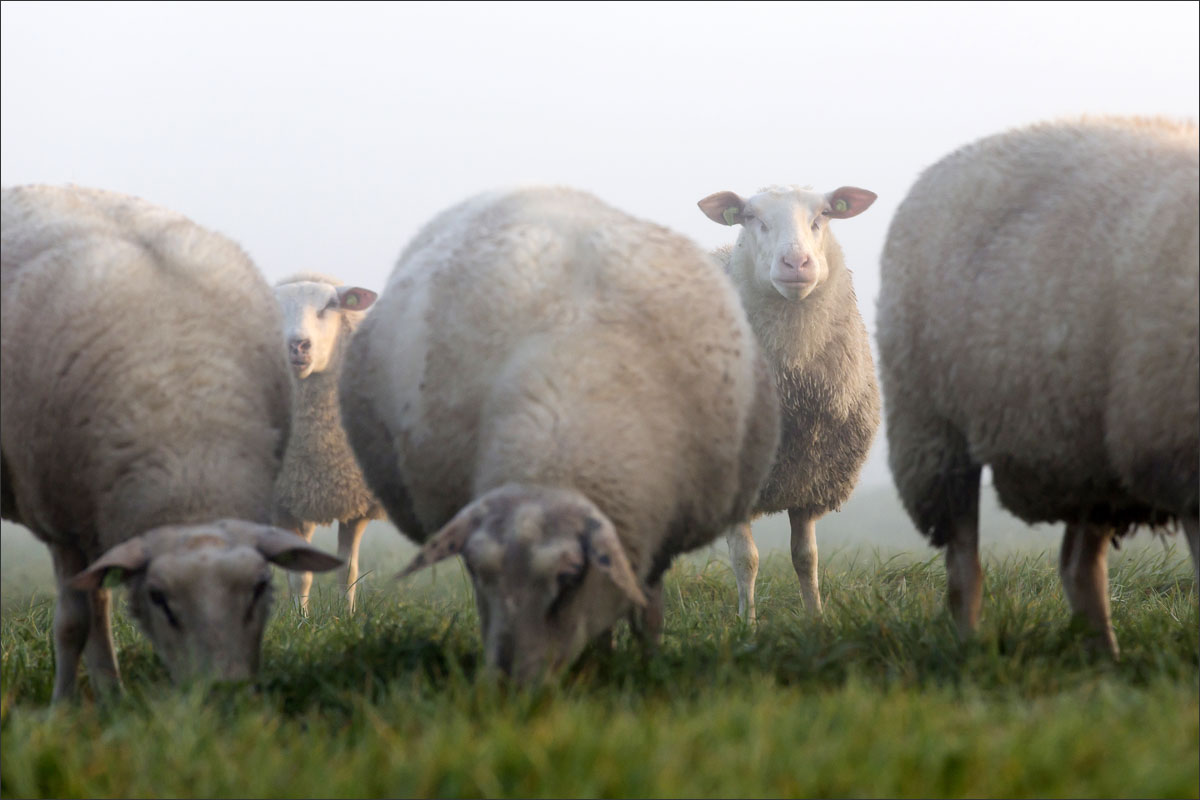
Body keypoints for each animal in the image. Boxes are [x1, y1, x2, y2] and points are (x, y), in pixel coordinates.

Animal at [0, 184, 342, 701]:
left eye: (260, 588)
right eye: (160, 599)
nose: (222, 692)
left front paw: (108, 700)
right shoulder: (61, 523)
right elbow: (71, 624)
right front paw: (62, 706)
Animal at [272, 272, 384, 613]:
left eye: (330, 305)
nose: (298, 345)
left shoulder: (358, 504)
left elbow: (348, 571)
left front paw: (346, 616)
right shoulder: (281, 501)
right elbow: (300, 575)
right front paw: (301, 619)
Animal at [339, 185, 780, 682]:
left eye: (568, 577)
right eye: (479, 572)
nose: (509, 682)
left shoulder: (656, 535)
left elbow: (647, 612)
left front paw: (645, 664)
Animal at [697, 185, 881, 622]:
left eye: (823, 215)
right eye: (751, 217)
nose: (796, 262)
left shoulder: (810, 482)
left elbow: (805, 558)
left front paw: (816, 618)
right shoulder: (733, 483)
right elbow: (746, 560)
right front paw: (747, 624)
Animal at [876, 116, 1200, 656]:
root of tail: (938, 169)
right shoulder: (1175, 451)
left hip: (1083, 447)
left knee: (1077, 567)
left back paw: (1105, 659)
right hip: (933, 430)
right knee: (964, 566)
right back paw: (971, 649)